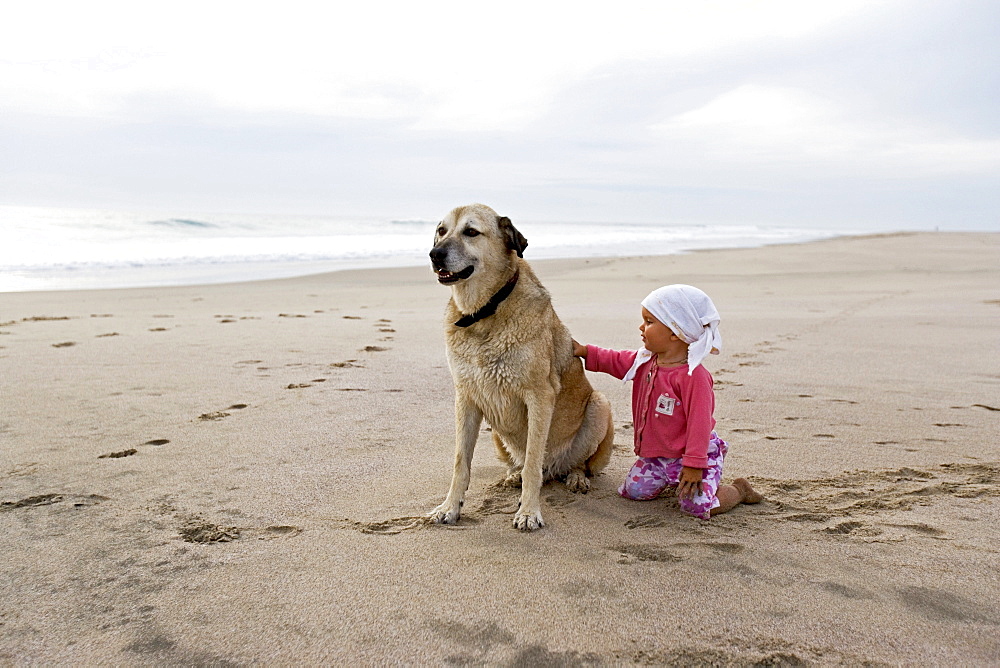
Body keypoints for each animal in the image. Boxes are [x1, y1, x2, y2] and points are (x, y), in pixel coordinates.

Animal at [426, 204, 612, 532]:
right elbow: (461, 462)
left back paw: (575, 477)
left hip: (599, 405)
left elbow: (533, 463)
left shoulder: (539, 397)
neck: (484, 312)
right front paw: (450, 507)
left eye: (471, 232)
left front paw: (528, 512)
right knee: (520, 464)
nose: (434, 254)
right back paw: (513, 475)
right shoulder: (466, 398)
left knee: (572, 464)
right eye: (441, 231)